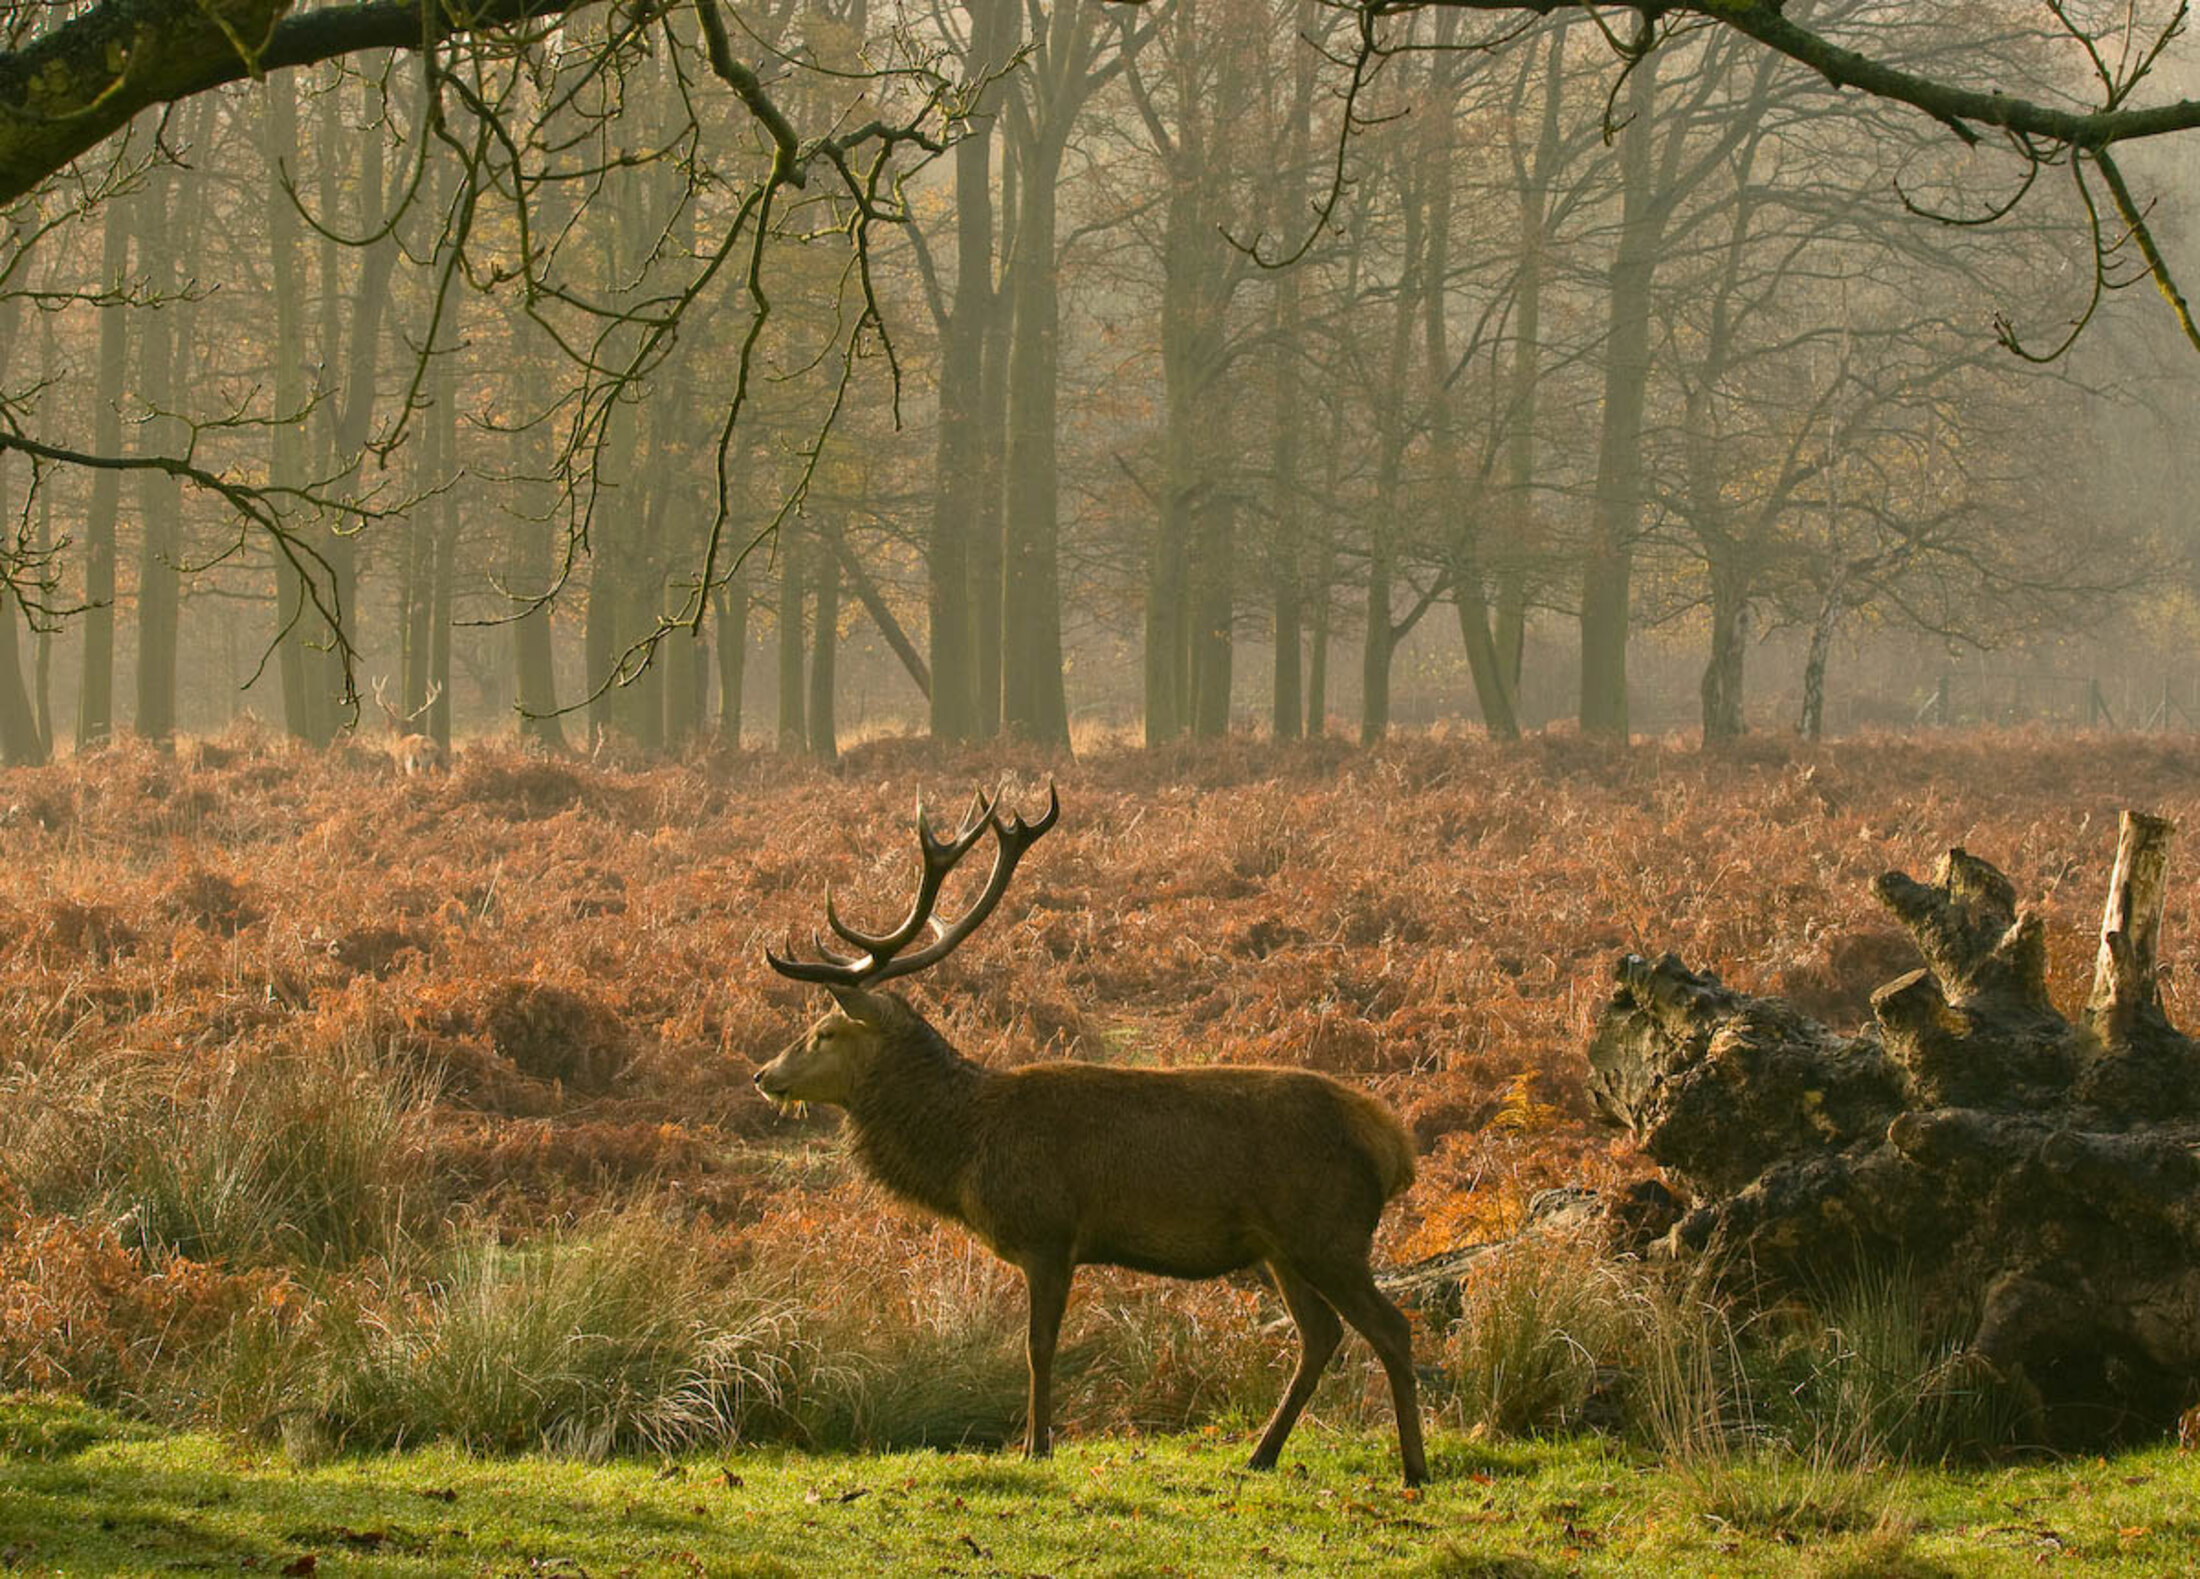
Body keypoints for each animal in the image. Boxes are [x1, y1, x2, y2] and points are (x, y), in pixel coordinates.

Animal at [756, 787, 1425, 1486]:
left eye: (825, 1031)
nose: (763, 1074)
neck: (966, 1149)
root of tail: (1394, 1146)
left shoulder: (1049, 1232)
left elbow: (1038, 1346)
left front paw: (1036, 1446)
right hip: (1281, 1248)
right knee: (1320, 1334)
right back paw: (1261, 1454)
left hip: (1329, 1234)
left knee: (1391, 1328)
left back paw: (1413, 1468)